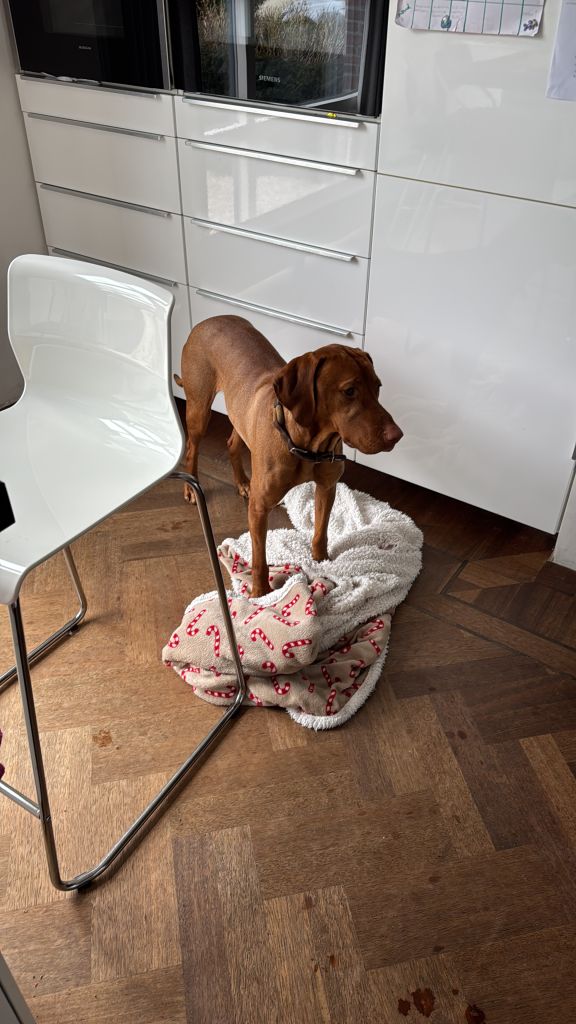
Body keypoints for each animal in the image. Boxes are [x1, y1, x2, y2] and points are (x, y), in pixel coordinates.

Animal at [175, 315, 403, 597]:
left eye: (378, 386)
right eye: (350, 391)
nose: (397, 436)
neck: (308, 446)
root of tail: (208, 320)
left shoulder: (327, 487)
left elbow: (320, 532)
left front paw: (321, 563)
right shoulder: (259, 509)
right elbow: (259, 559)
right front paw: (259, 593)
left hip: (240, 412)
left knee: (232, 443)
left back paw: (242, 482)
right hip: (199, 408)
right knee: (192, 448)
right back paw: (190, 488)